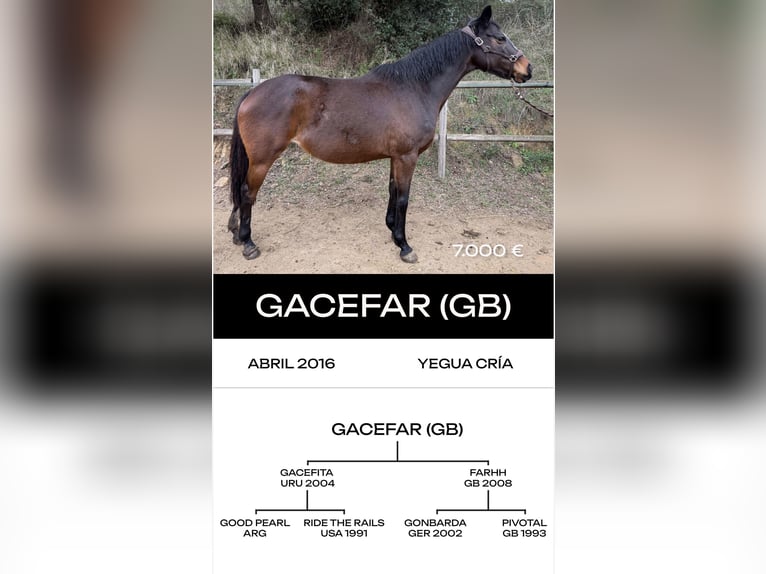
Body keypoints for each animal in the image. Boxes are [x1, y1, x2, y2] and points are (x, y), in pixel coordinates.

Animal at [227, 5, 532, 263]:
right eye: (500, 38)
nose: (527, 69)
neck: (414, 88)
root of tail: (252, 93)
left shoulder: (395, 157)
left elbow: (392, 191)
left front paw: (392, 231)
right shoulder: (407, 157)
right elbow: (403, 198)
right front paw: (404, 245)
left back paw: (236, 233)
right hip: (262, 159)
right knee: (247, 192)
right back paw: (248, 242)